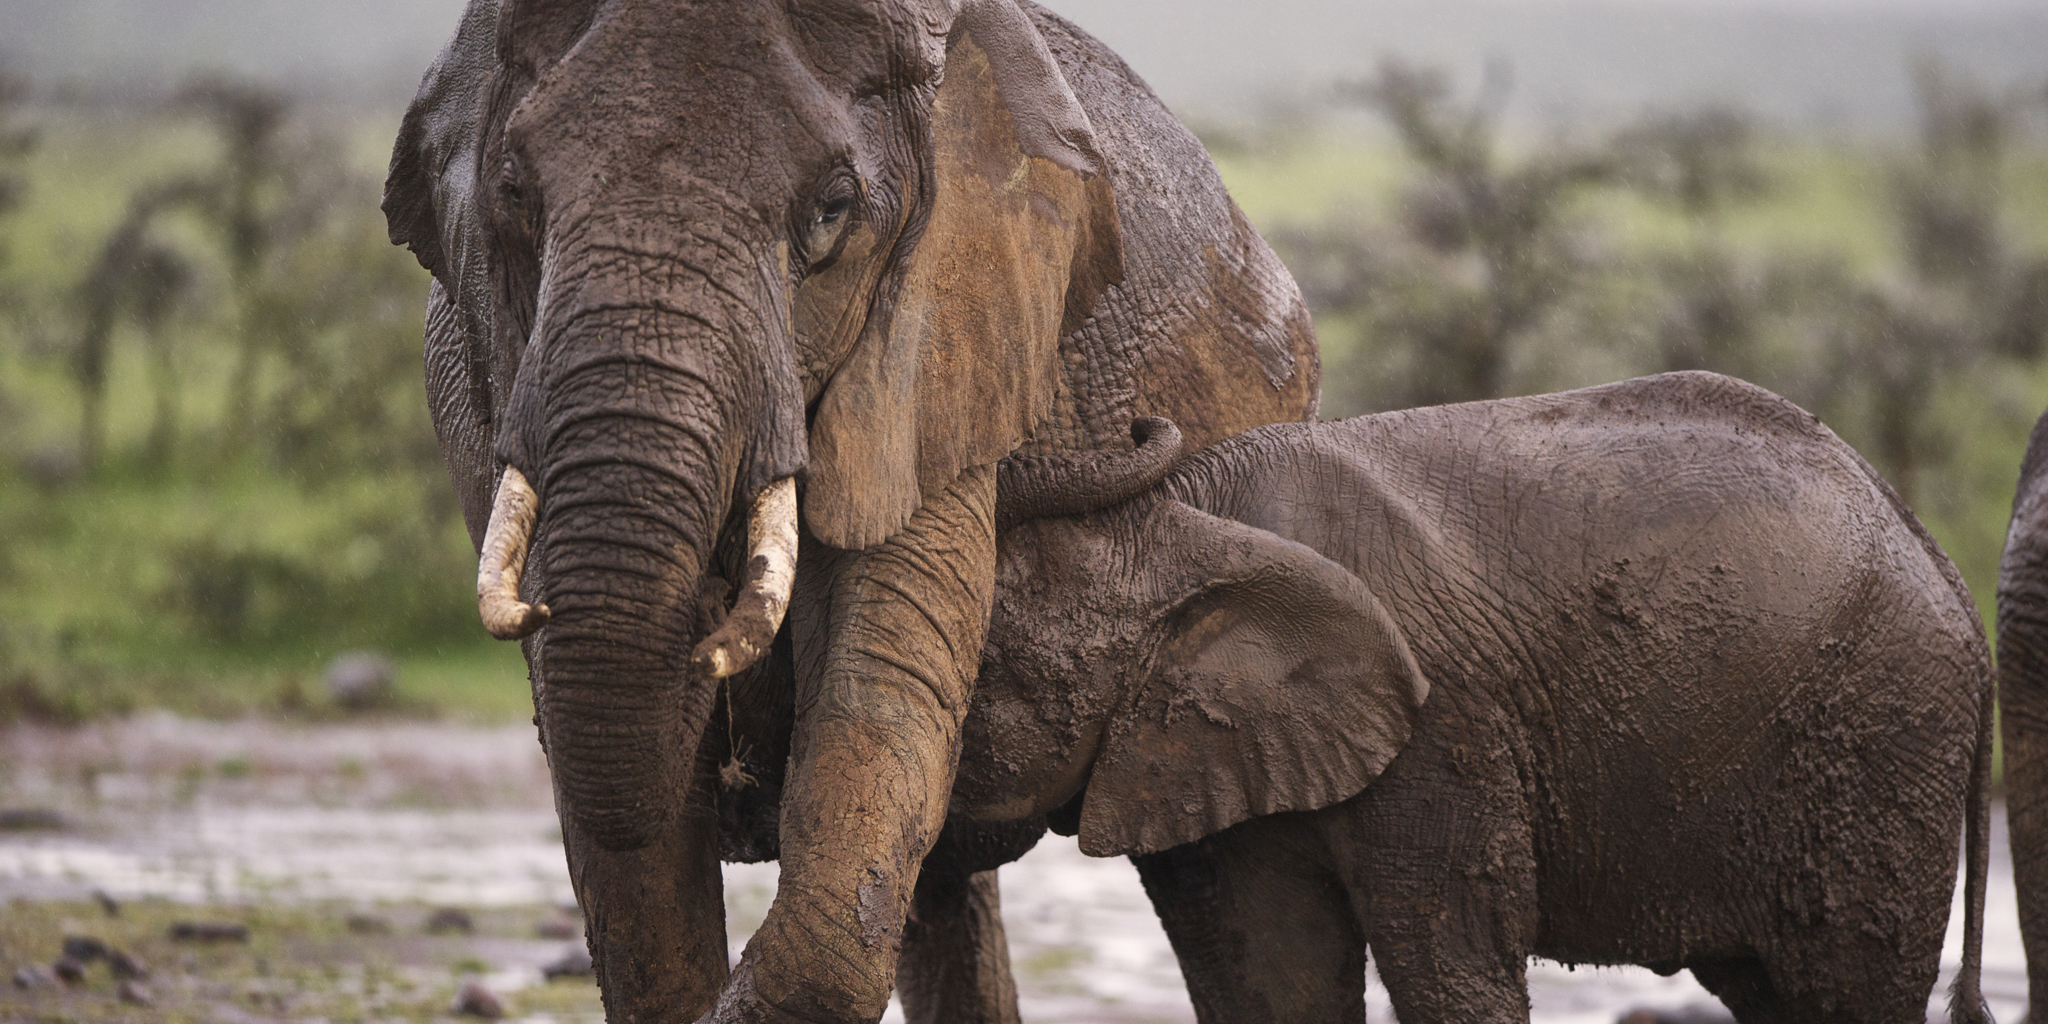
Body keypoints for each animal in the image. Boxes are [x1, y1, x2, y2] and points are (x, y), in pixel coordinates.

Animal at [956, 371, 1993, 1024]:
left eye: (979, 686)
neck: (1180, 514)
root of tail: (1934, 553)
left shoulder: (1443, 730)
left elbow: (1449, 973)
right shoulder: (1196, 764)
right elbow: (1271, 987)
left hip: (1878, 740)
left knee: (1846, 990)